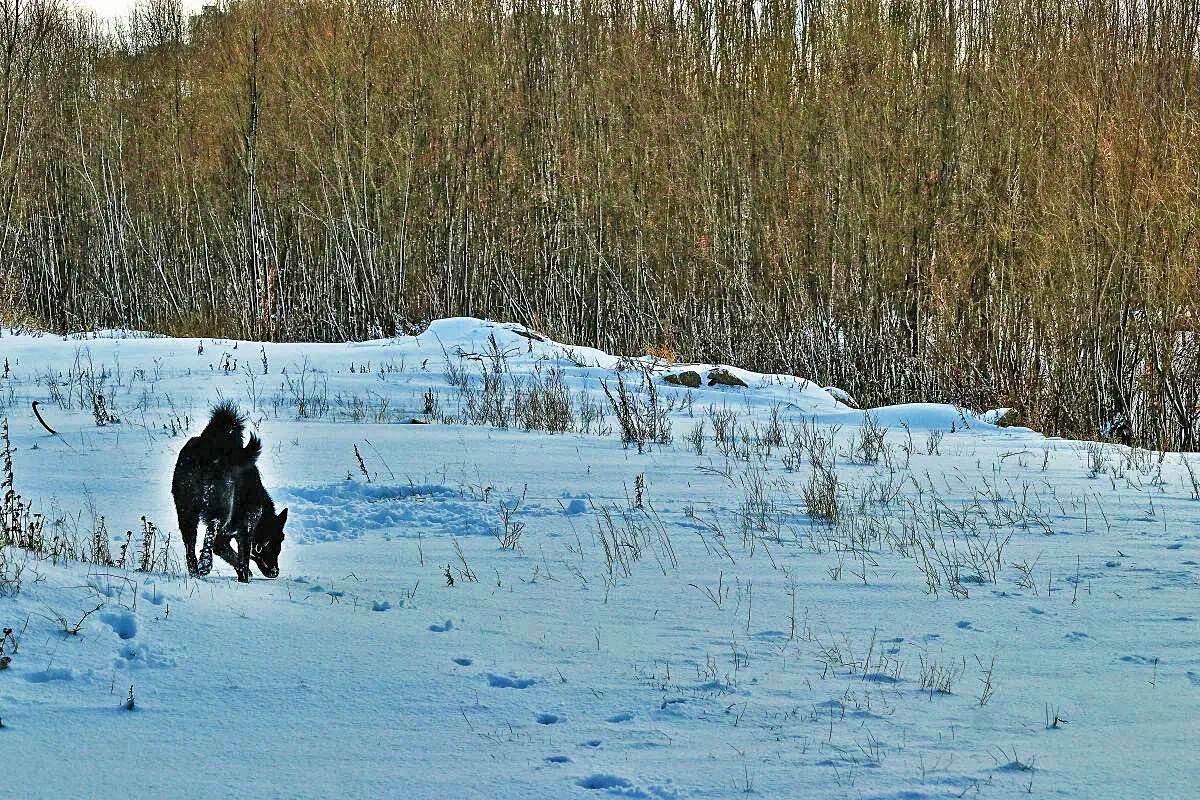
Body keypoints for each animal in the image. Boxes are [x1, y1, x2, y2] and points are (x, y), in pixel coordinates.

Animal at [170, 400, 286, 582]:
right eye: (278, 541)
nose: (275, 572)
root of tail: (208, 445)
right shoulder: (247, 529)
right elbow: (243, 560)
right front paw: (245, 579)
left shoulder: (224, 540)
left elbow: (232, 556)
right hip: (221, 506)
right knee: (212, 528)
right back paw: (205, 564)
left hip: (186, 511)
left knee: (190, 545)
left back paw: (195, 571)